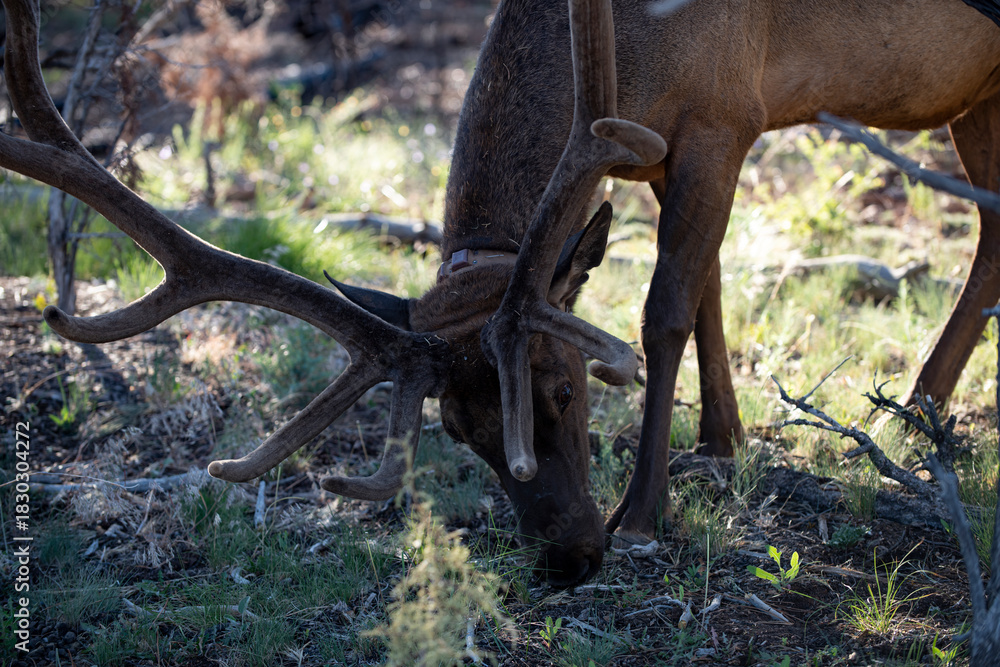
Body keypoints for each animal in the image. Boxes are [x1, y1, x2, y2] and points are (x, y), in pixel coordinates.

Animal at [3, 0, 1000, 589]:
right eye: (456, 428)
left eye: (562, 386)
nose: (567, 556)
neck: (637, 48)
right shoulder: (666, 143)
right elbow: (709, 288)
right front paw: (723, 439)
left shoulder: (724, 113)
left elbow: (663, 310)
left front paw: (646, 510)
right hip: (978, 90)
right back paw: (922, 405)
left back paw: (920, 405)